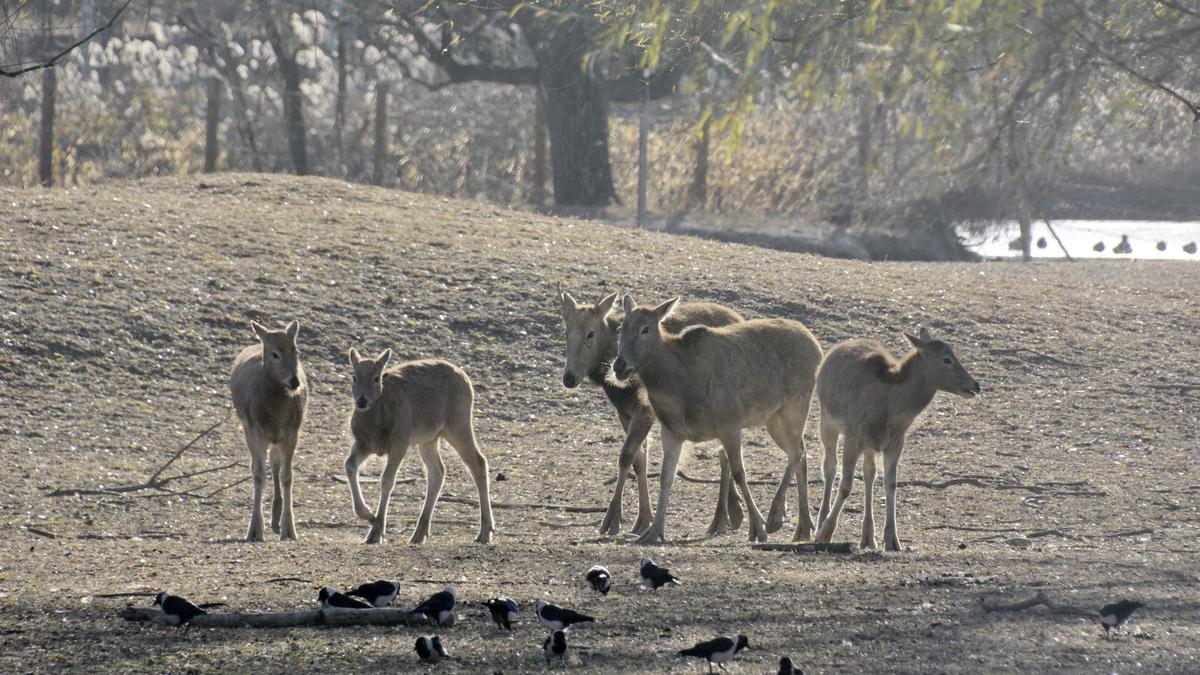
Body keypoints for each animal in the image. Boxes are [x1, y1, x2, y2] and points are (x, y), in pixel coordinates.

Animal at [228, 319, 304, 540]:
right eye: (274, 354)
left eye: (296, 350)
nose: (295, 381)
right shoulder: (254, 430)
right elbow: (258, 474)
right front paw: (254, 530)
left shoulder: (292, 432)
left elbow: (287, 476)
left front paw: (289, 530)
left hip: (277, 438)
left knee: (276, 465)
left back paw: (276, 518)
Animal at [345, 345, 494, 540]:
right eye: (354, 377)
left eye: (376, 377)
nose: (362, 401)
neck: (376, 425)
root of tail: (464, 377)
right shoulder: (363, 444)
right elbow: (349, 466)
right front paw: (369, 515)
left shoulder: (400, 442)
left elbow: (387, 479)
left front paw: (376, 531)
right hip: (429, 439)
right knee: (438, 471)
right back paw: (419, 534)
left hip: (459, 425)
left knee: (478, 463)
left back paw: (485, 533)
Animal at [556, 291, 744, 533]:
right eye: (566, 331)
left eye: (590, 333)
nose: (569, 378)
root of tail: (739, 317)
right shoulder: (625, 413)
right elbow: (639, 461)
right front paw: (643, 518)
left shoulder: (645, 408)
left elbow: (626, 456)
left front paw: (612, 519)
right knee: (723, 452)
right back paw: (731, 512)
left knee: (725, 453)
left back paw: (722, 517)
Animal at [609, 294, 825, 540]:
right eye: (620, 328)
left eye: (646, 329)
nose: (619, 365)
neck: (679, 386)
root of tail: (817, 347)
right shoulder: (671, 431)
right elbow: (666, 477)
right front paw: (654, 532)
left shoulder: (729, 424)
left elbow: (739, 473)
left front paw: (758, 528)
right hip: (774, 417)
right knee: (800, 452)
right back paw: (803, 527)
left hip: (794, 406)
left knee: (797, 452)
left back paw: (775, 517)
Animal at [811, 326, 979, 552]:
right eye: (947, 359)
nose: (976, 385)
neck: (889, 412)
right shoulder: (854, 435)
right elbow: (846, 485)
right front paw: (824, 533)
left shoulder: (896, 442)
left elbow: (890, 483)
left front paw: (892, 540)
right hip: (827, 419)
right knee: (829, 466)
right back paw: (821, 522)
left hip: (870, 444)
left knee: (869, 473)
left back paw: (868, 537)